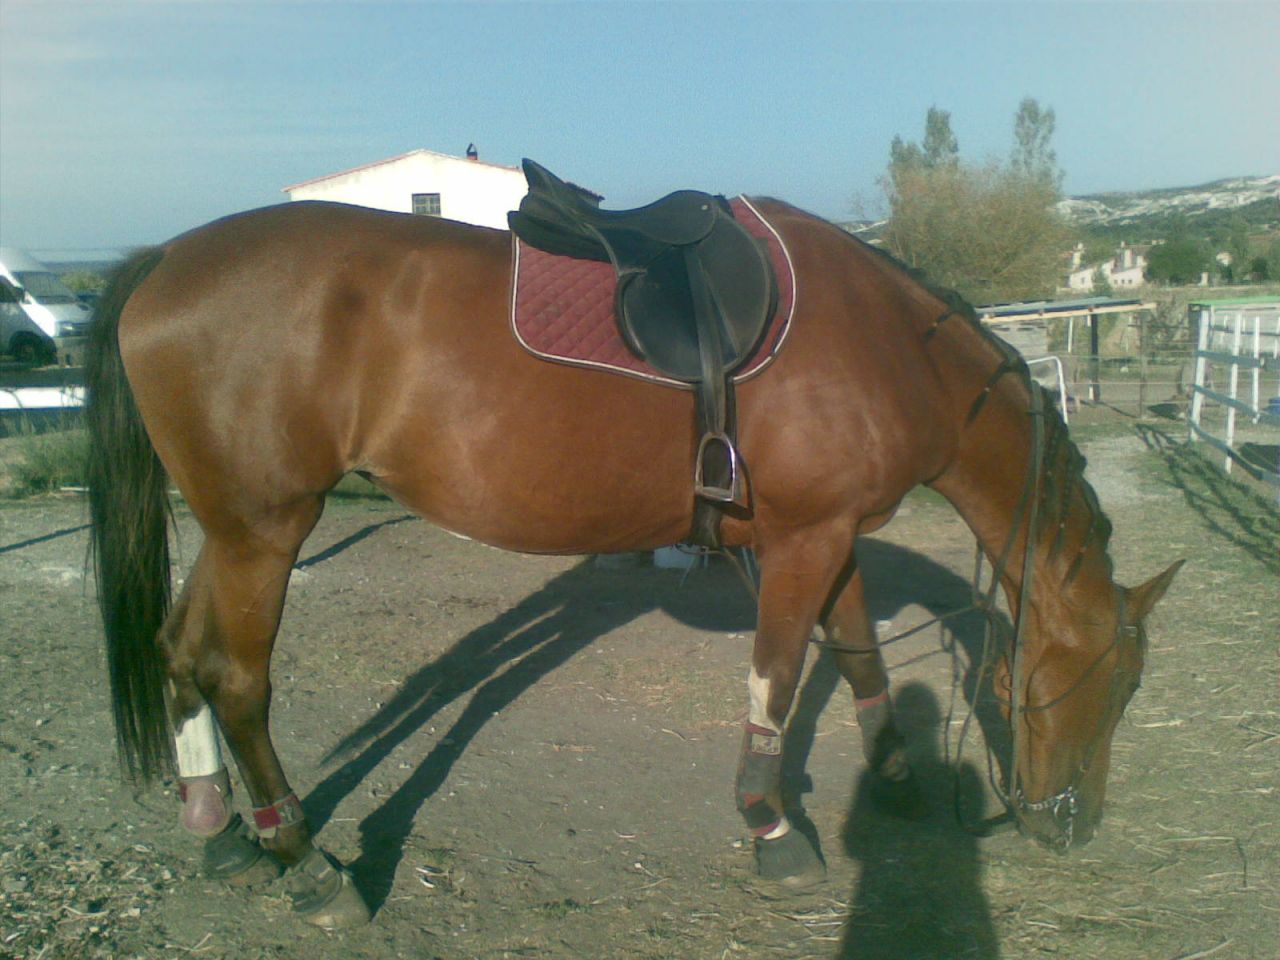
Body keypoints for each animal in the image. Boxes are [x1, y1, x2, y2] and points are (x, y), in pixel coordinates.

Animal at [84, 190, 1181, 928]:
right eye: (1115, 685)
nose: (1071, 826)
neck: (891, 344)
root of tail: (164, 258)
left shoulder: (830, 534)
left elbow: (858, 653)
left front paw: (896, 776)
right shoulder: (802, 542)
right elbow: (776, 682)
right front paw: (771, 830)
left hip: (233, 529)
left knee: (179, 652)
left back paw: (218, 831)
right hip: (265, 530)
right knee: (233, 675)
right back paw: (306, 863)